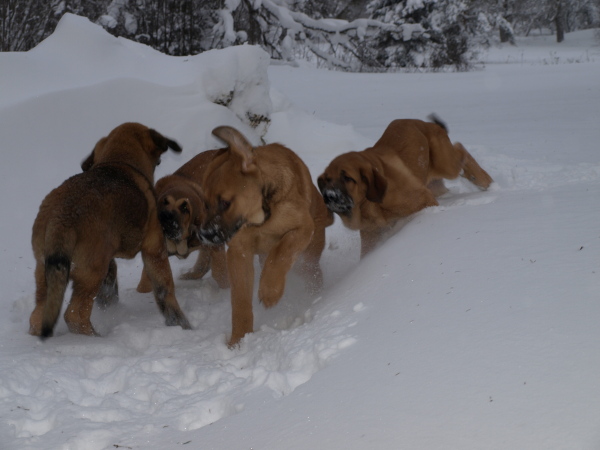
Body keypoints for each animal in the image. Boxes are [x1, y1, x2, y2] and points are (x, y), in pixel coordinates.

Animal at [29, 121, 191, 340]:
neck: (119, 162)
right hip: (91, 273)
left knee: (38, 315)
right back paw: (94, 338)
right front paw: (181, 324)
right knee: (74, 314)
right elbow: (165, 289)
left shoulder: (110, 257)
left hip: (45, 271)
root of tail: (61, 218)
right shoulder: (154, 250)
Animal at [136, 149, 230, 294]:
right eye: (165, 202)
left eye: (185, 208)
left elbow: (221, 274)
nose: (166, 215)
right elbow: (144, 284)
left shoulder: (214, 244)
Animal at [200, 126, 332, 348]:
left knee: (313, 274)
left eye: (225, 203)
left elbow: (281, 252)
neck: (261, 218)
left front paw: (270, 290)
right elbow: (240, 301)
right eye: (206, 204)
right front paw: (239, 340)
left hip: (306, 260)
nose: (204, 235)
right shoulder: (239, 251)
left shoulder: (302, 228)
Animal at [318, 114, 492, 258]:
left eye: (347, 178)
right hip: (435, 184)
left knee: (460, 150)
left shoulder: (424, 199)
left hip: (446, 165)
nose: (329, 196)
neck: (369, 204)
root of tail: (426, 123)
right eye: (326, 180)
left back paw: (487, 183)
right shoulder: (371, 233)